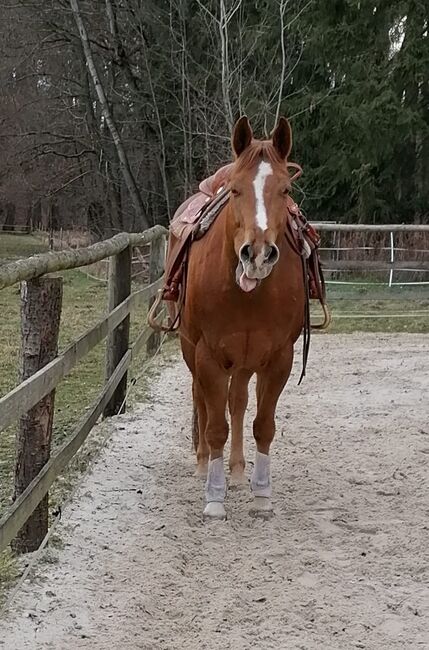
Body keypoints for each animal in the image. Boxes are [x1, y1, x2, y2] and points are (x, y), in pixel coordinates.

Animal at [177, 116, 304, 520]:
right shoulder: (207, 355)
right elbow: (215, 425)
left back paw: (235, 471)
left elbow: (263, 425)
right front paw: (214, 498)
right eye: (234, 190)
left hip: (246, 360)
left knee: (237, 402)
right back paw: (205, 464)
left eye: (284, 190)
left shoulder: (279, 357)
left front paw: (262, 494)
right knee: (202, 401)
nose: (258, 254)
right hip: (191, 350)